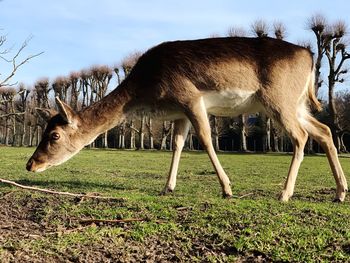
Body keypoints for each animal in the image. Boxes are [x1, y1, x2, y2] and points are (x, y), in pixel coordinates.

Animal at [26, 36, 348, 202]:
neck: (148, 90)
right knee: (323, 130)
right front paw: (167, 187)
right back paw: (341, 192)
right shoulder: (179, 113)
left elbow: (205, 140)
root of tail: (309, 55)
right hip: (296, 104)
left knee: (302, 136)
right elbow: (177, 144)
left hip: (278, 99)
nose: (31, 164)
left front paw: (227, 189)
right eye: (43, 131)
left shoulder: (190, 97)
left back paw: (285, 194)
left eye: (54, 135)